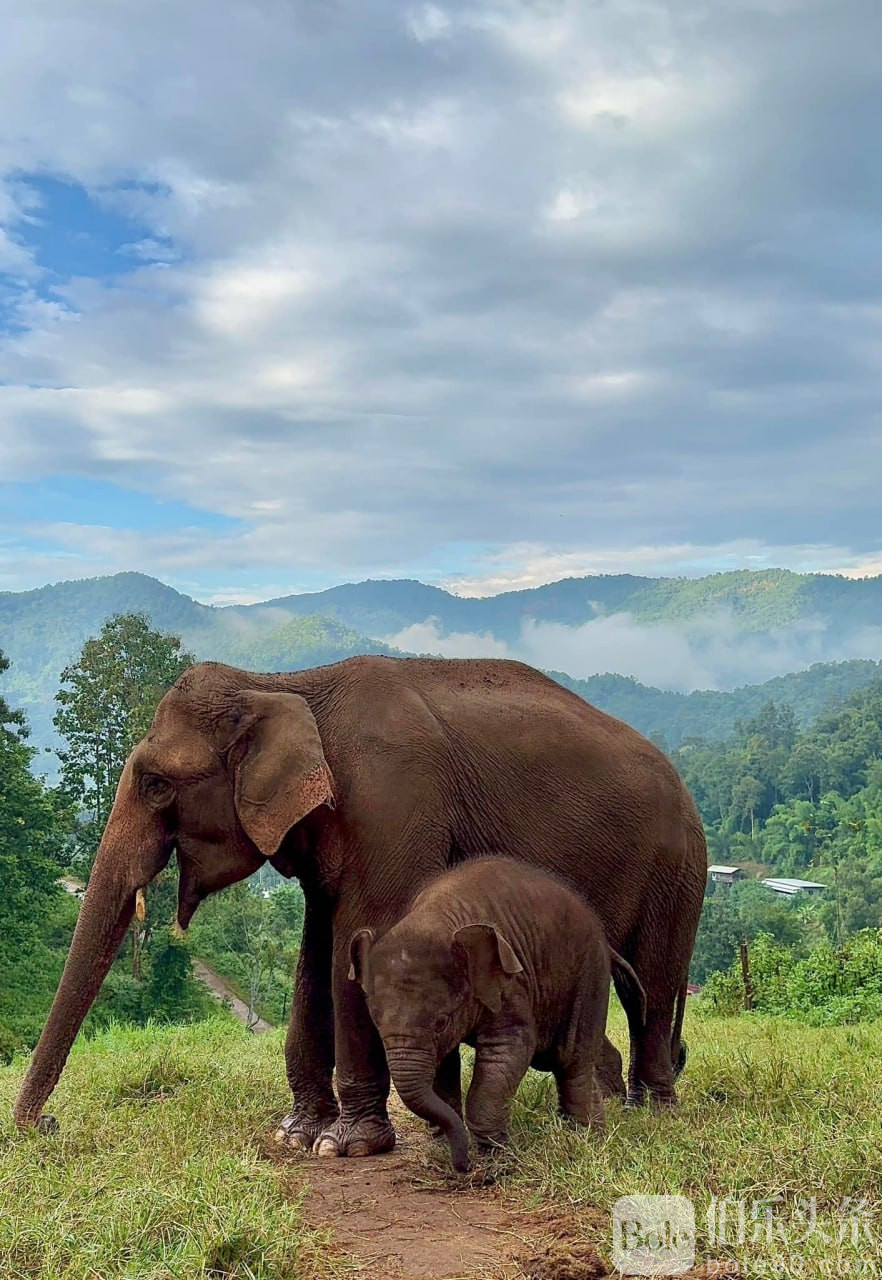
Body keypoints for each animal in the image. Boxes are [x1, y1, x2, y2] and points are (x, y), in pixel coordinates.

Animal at [348, 855, 642, 1172]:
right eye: (376, 1023)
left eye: (441, 1022)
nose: (463, 1166)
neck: (437, 915)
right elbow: (444, 1063)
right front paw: (449, 1145)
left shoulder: (510, 984)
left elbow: (509, 1047)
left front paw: (494, 1157)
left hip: (590, 975)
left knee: (573, 1061)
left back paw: (586, 1138)